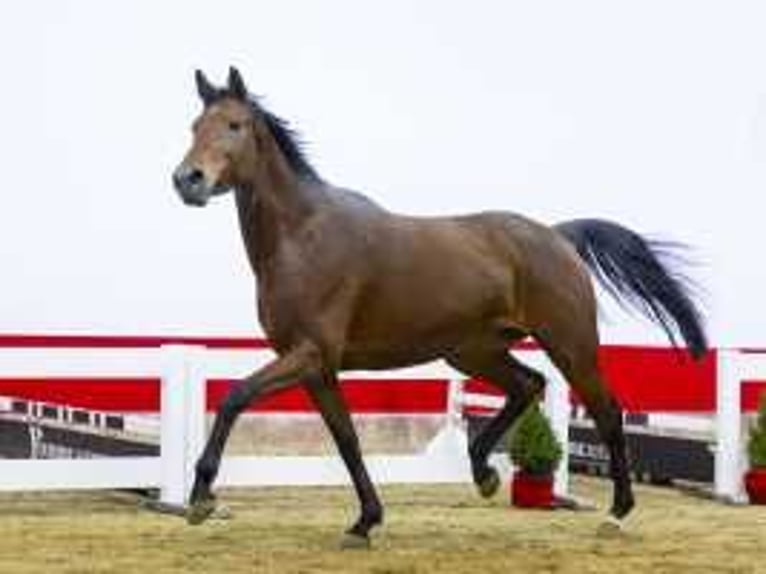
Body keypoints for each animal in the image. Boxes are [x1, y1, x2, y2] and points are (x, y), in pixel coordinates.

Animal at [172, 67, 708, 548]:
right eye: (195, 126)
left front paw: (201, 498)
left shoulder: (309, 353)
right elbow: (347, 440)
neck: (302, 238)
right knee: (528, 385)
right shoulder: (317, 368)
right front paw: (365, 521)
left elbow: (235, 397)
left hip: (570, 346)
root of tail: (557, 236)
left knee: (607, 412)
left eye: (234, 124)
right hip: (472, 351)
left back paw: (616, 513)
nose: (187, 180)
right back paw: (484, 472)